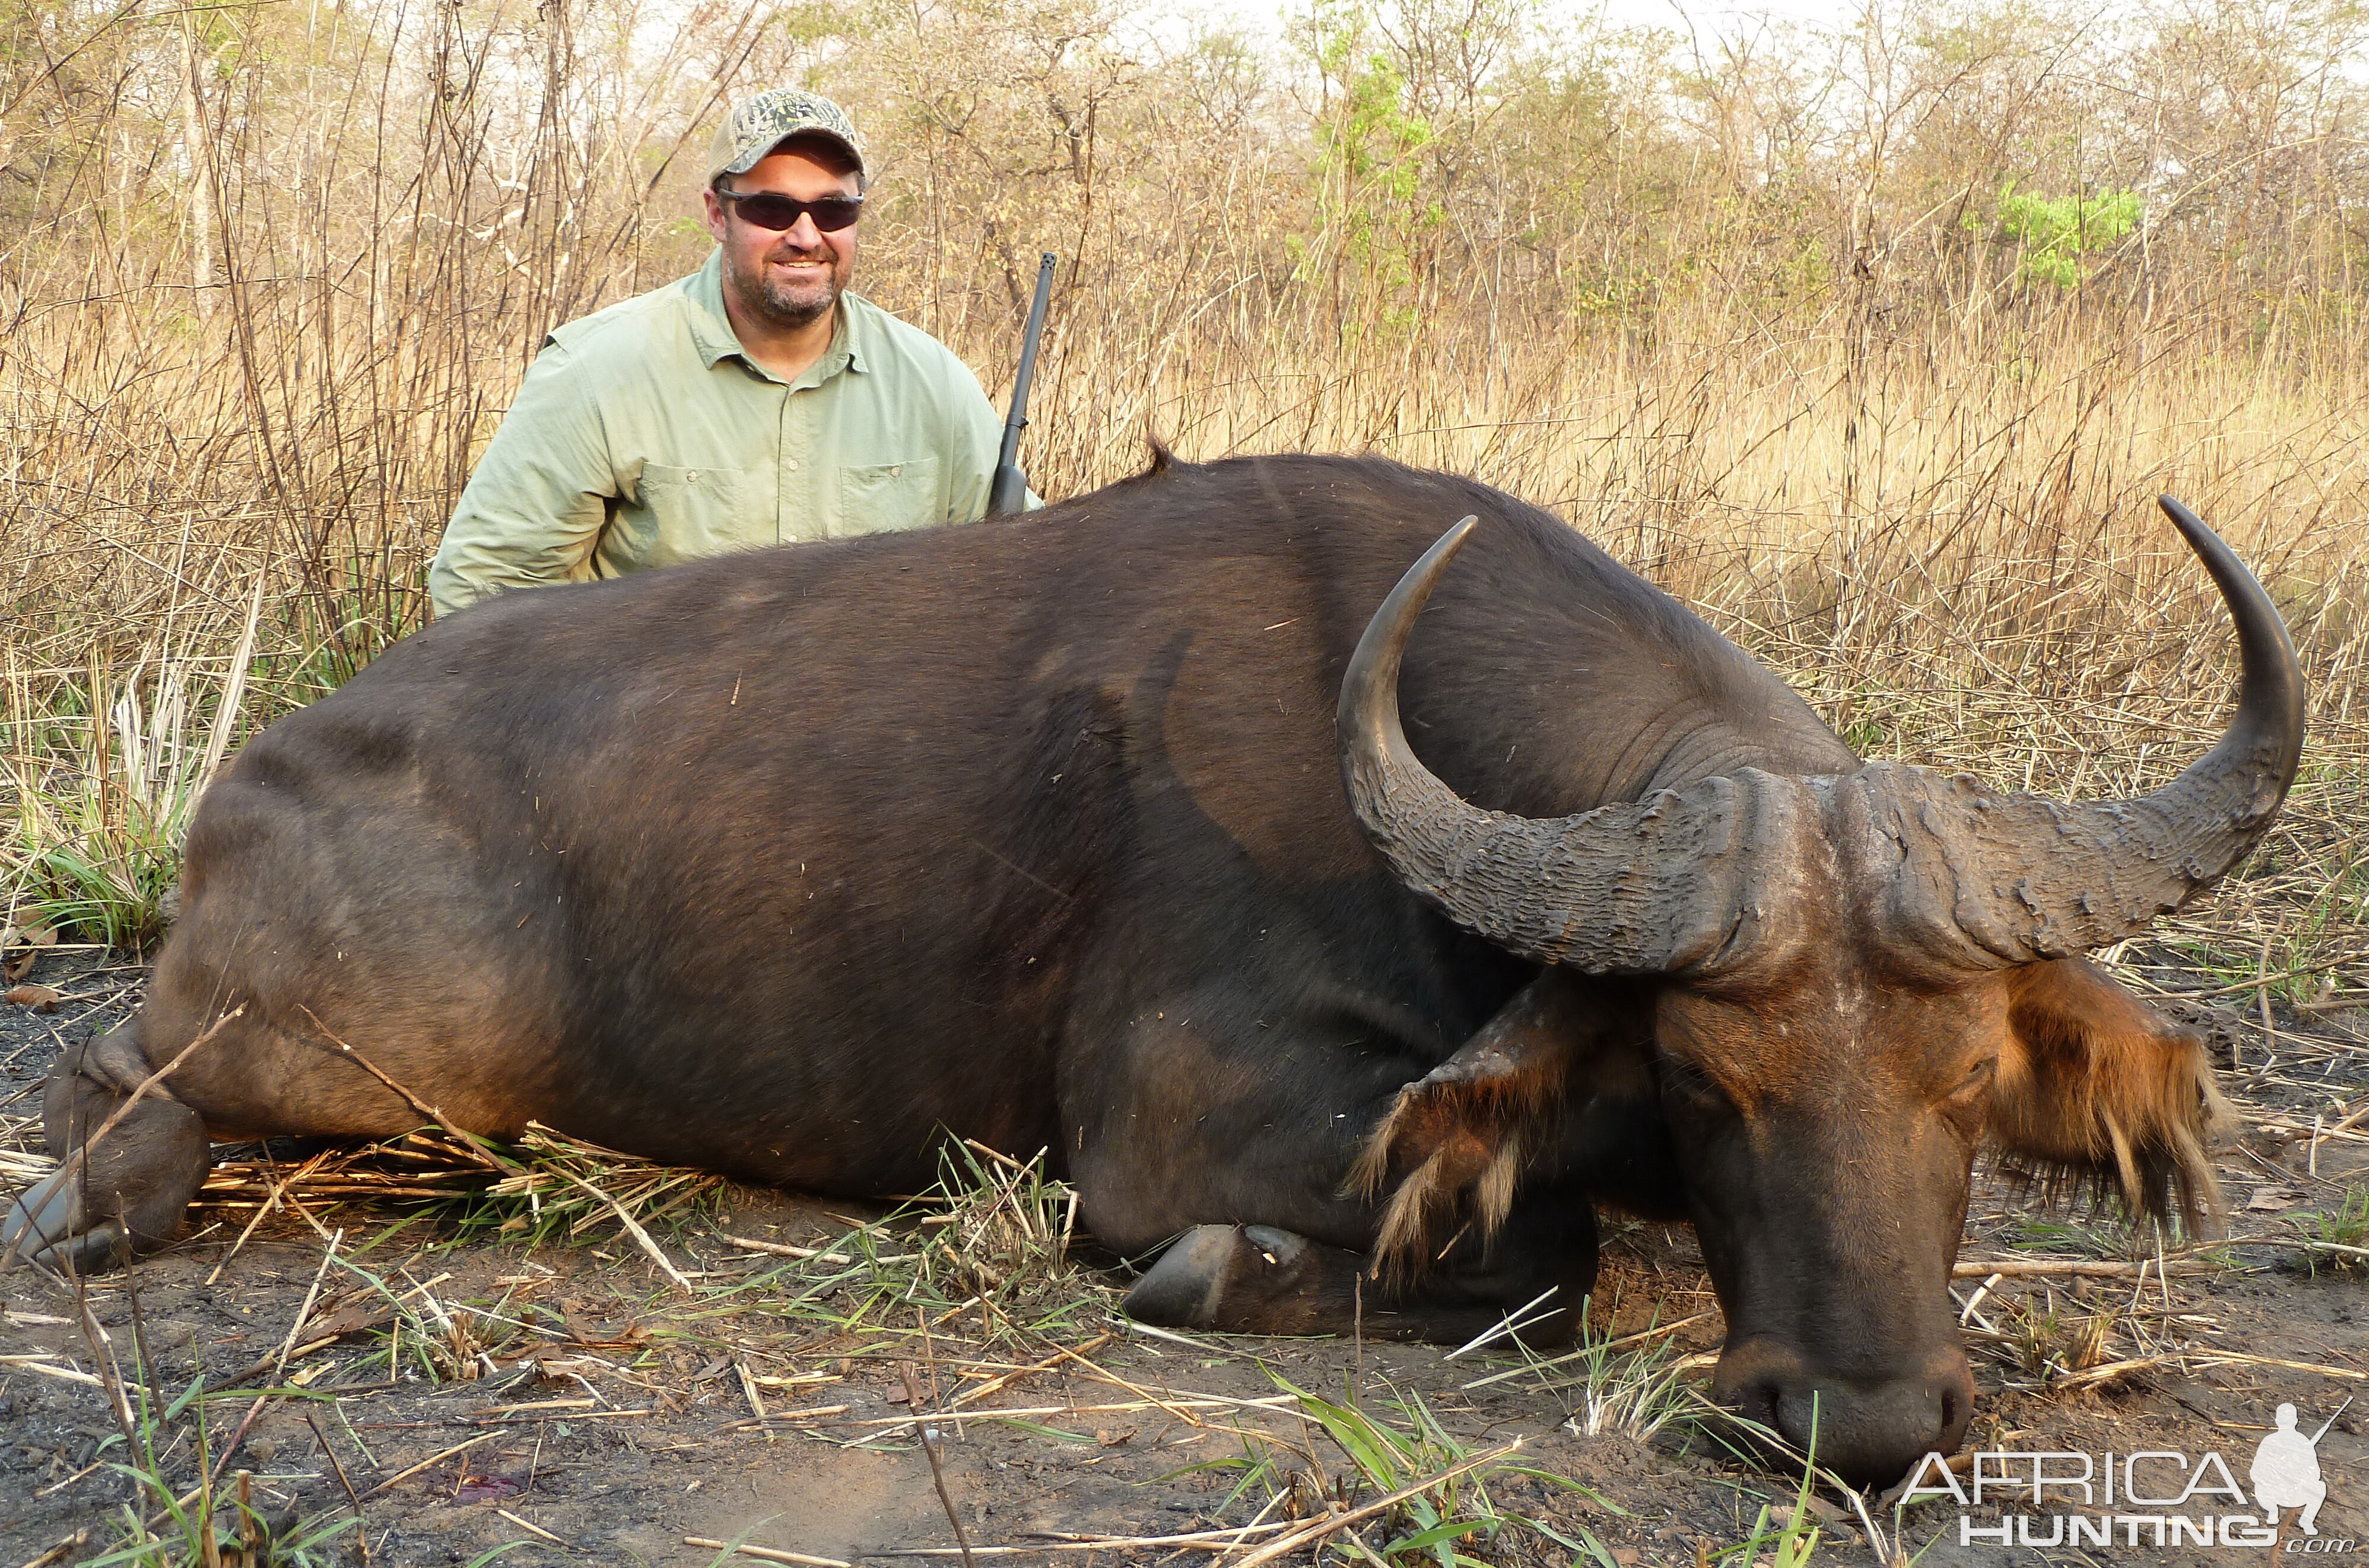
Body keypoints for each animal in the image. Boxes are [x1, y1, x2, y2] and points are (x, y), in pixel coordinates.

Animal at [0, 455, 2293, 1487]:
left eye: (1967, 1087)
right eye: (1709, 1080)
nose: (1863, 1413)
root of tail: (269, 759)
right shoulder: (1181, 1136)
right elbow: (1531, 1255)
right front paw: (1227, 1280)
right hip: (367, 1055)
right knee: (112, 1070)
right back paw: (99, 1203)